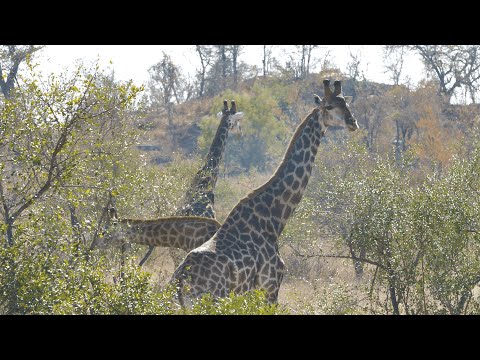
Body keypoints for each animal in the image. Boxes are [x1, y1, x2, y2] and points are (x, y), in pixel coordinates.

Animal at [171, 80, 358, 306]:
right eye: (329, 107)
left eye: (346, 103)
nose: (353, 122)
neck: (274, 218)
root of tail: (180, 284)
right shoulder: (270, 286)